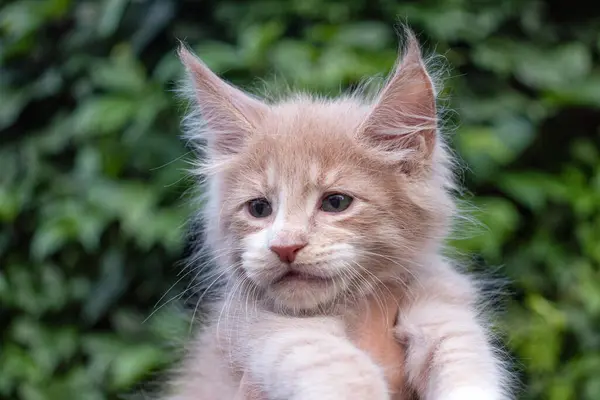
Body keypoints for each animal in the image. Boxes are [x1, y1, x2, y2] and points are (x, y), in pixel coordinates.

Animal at [164, 30, 510, 400]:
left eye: (336, 203)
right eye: (259, 208)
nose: (285, 246)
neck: (349, 305)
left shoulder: (441, 297)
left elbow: (461, 349)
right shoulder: (255, 327)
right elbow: (336, 364)